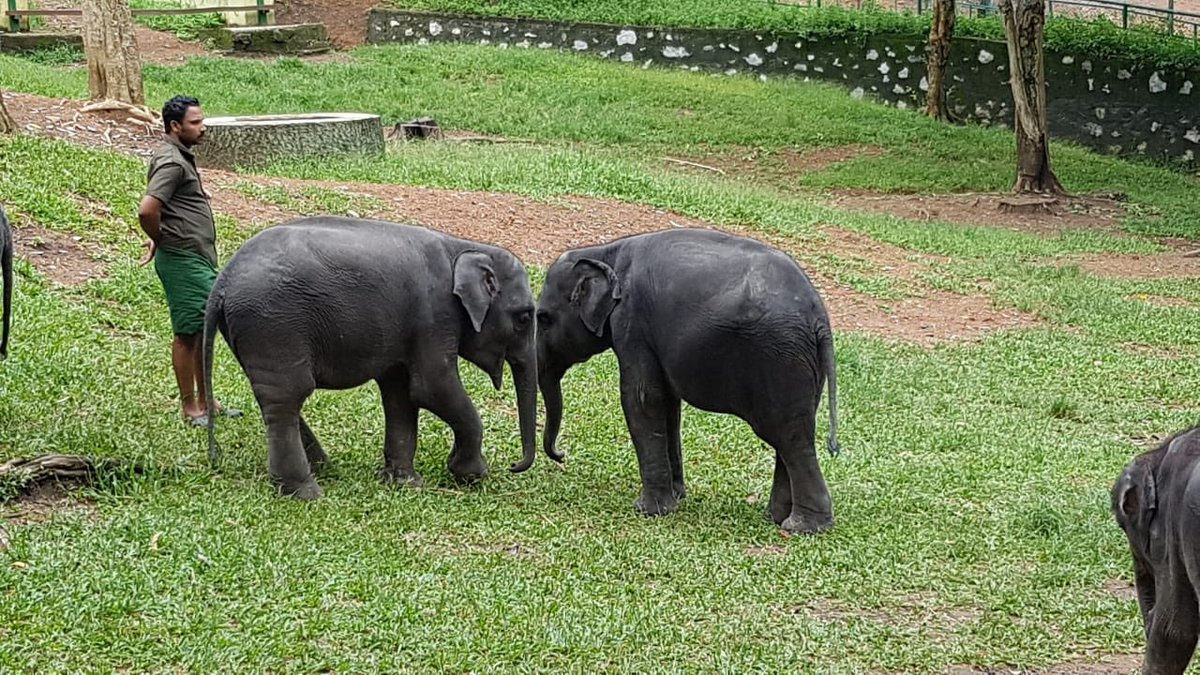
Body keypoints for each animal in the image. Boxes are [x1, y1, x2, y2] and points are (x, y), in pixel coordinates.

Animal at [201, 215, 539, 500]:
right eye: (524, 318)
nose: (513, 466)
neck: (464, 246)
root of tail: (222, 282)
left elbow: (401, 394)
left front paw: (406, 483)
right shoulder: (433, 316)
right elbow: (431, 388)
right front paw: (471, 474)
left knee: (276, 398)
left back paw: (324, 469)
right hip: (274, 326)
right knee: (287, 398)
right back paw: (307, 493)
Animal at [535, 227, 840, 535]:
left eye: (543, 318)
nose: (562, 455)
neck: (604, 252)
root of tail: (819, 318)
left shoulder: (632, 324)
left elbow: (641, 399)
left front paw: (649, 511)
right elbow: (668, 404)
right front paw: (677, 496)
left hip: (780, 360)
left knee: (790, 438)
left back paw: (802, 527)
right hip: (802, 366)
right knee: (790, 436)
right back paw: (777, 518)